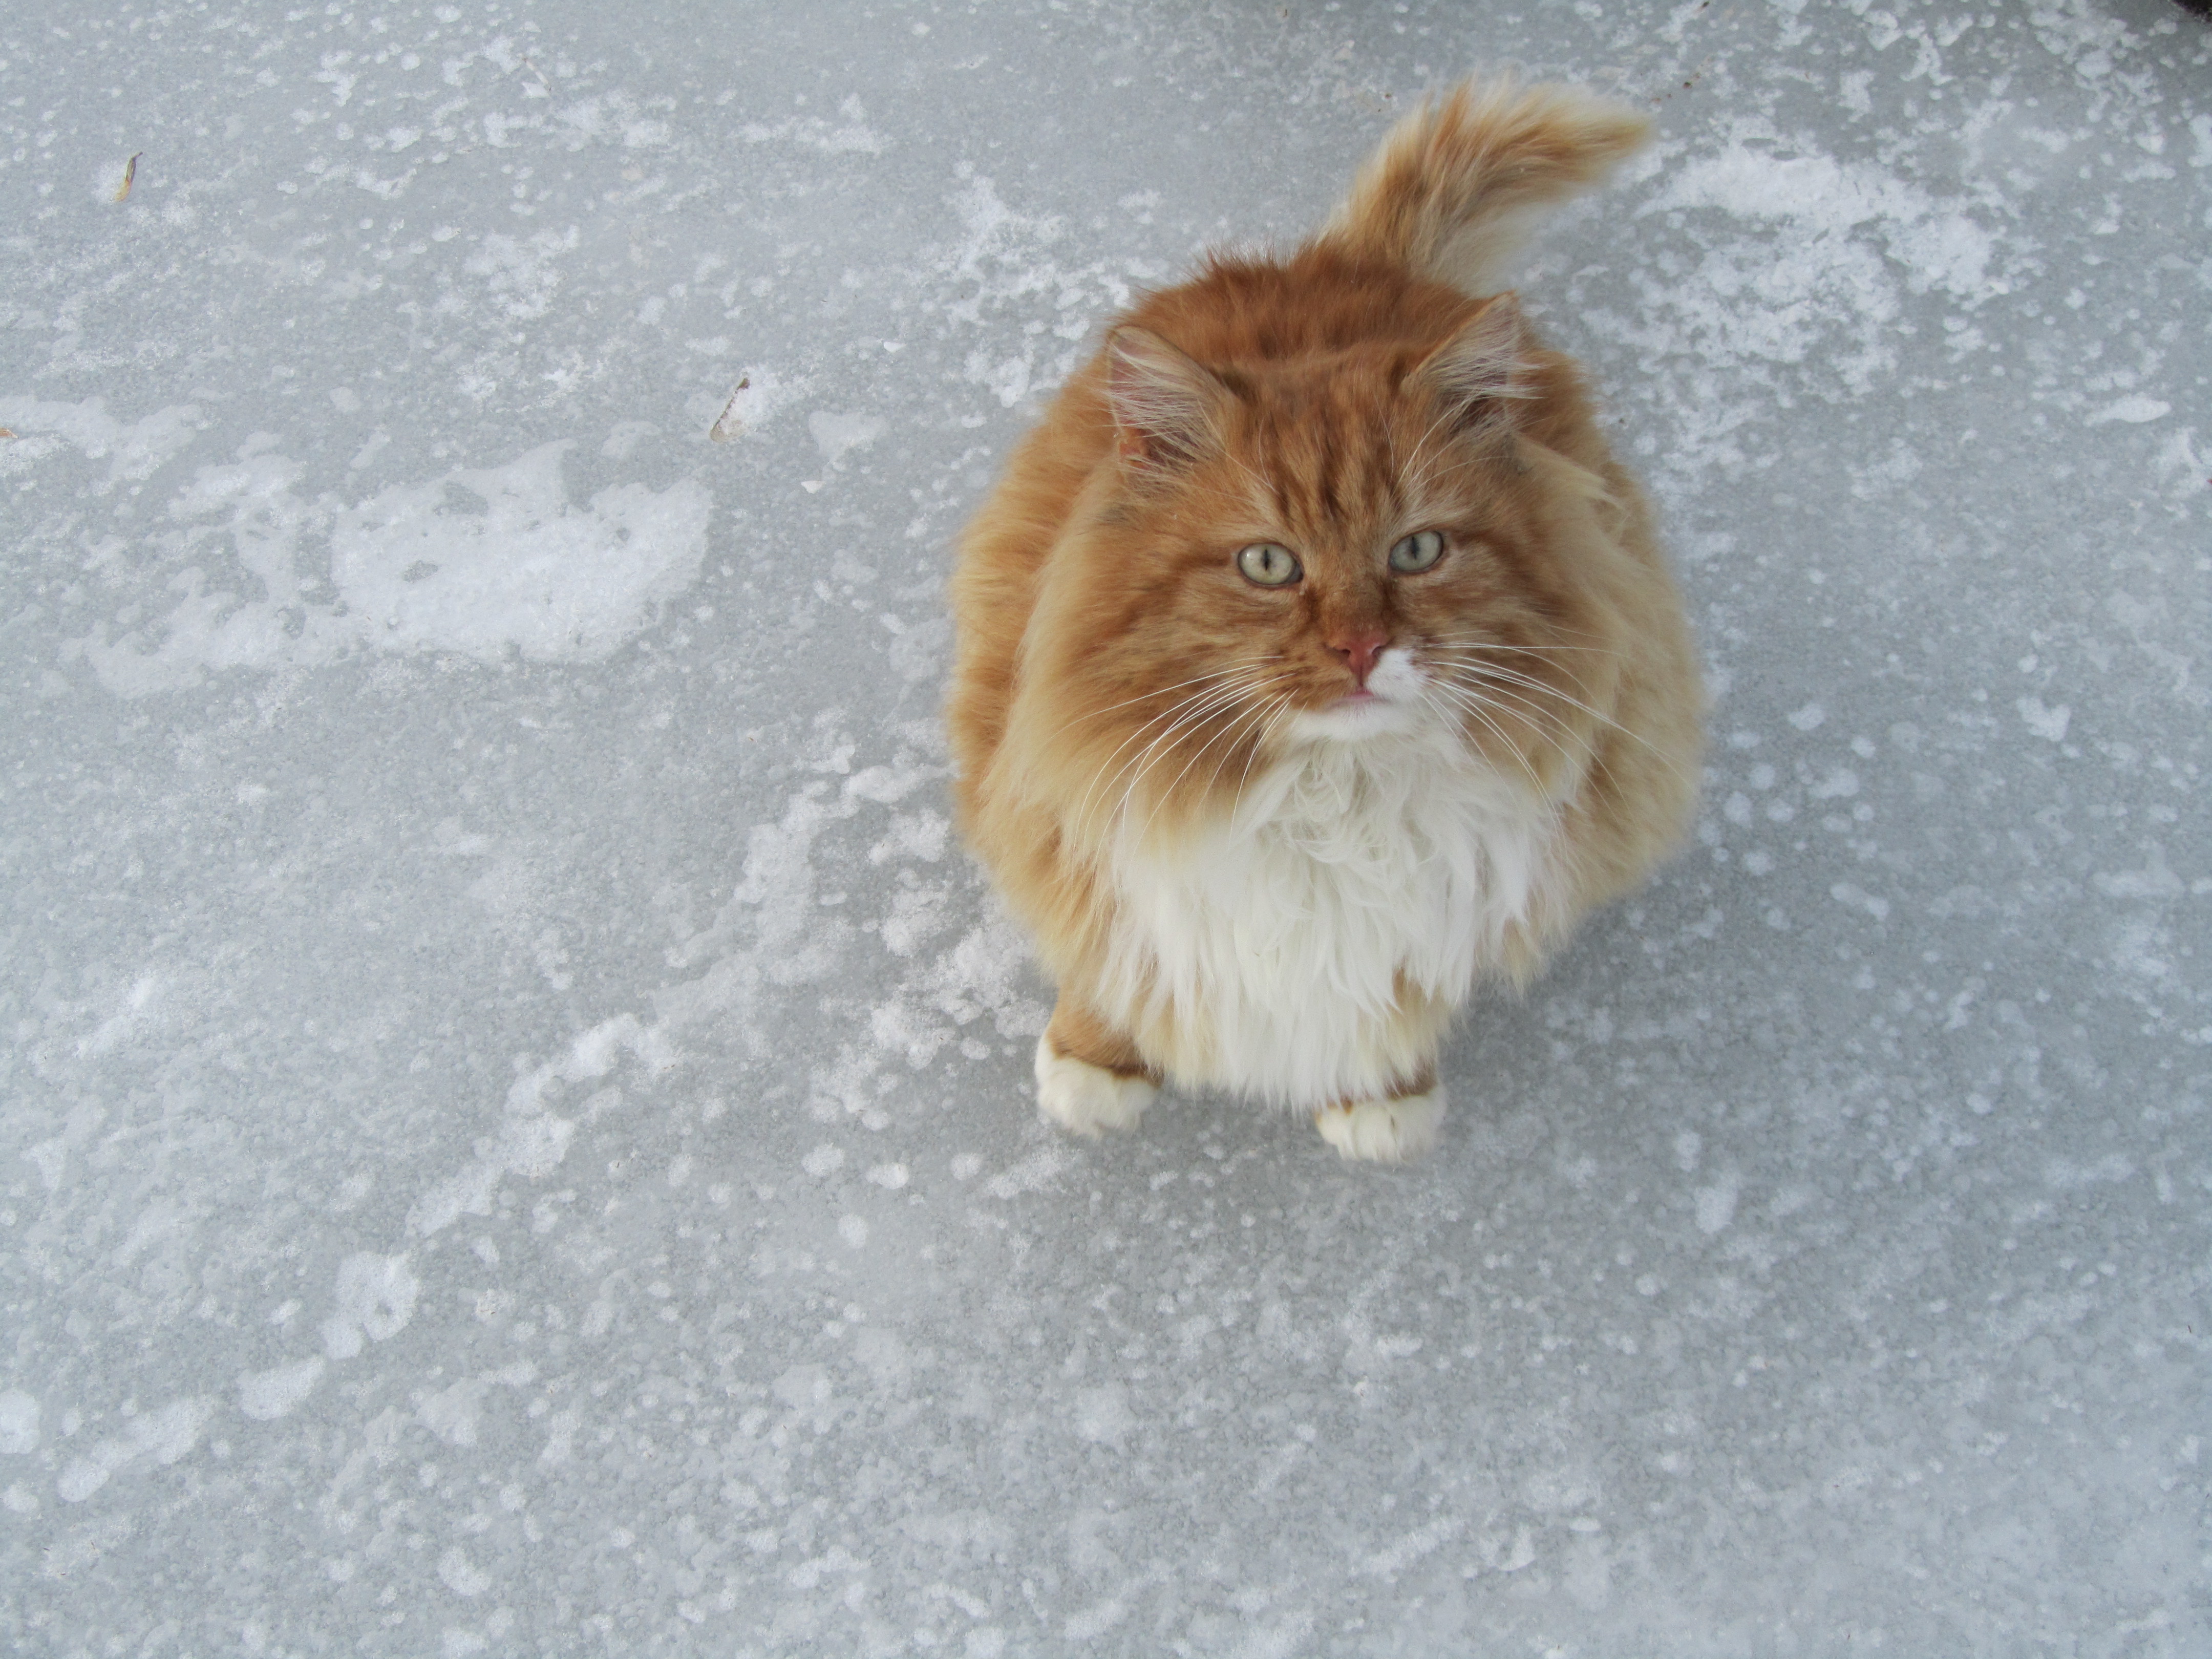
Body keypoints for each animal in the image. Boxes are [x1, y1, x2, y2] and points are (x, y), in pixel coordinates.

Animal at [942, 81, 1698, 1167]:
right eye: (1269, 564)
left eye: (1417, 551)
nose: (1360, 648)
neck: (1329, 798)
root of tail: (1352, 260)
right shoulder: (1082, 817)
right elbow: (1115, 955)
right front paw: (1096, 1064)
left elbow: (1386, 998)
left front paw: (1381, 1093)